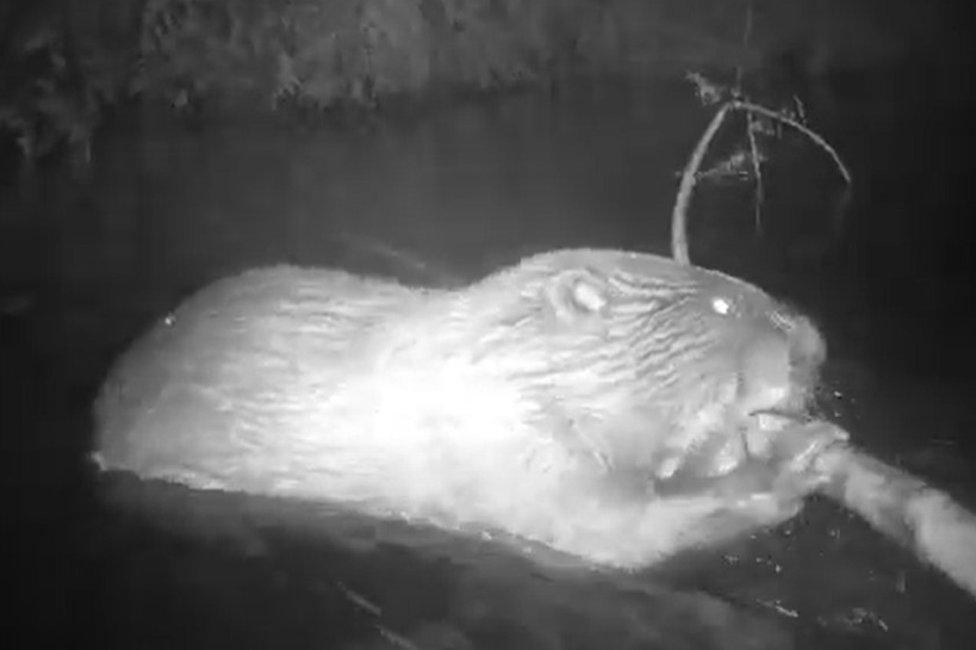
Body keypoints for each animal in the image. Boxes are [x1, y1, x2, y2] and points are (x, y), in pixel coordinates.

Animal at [93, 246, 848, 564]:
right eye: (723, 304)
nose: (816, 344)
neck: (501, 365)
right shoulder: (511, 453)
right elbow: (619, 533)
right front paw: (797, 460)